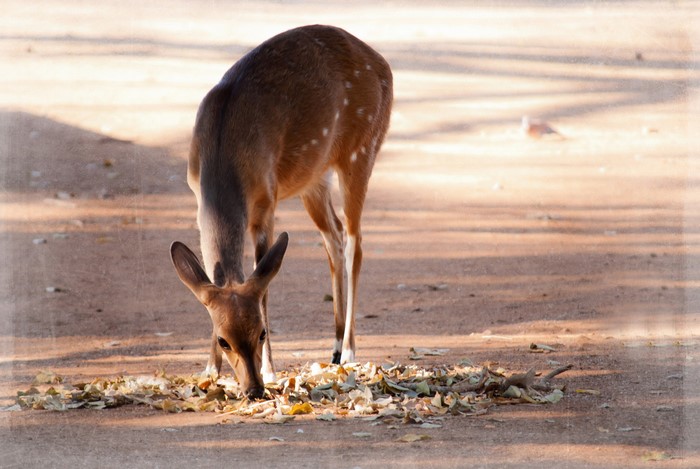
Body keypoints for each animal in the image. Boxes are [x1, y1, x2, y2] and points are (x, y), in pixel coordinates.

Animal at [169, 25, 393, 399]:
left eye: (261, 332)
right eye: (223, 340)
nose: (254, 389)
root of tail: (382, 63)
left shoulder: (266, 201)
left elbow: (264, 283)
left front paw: (271, 370)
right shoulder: (195, 193)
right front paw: (210, 370)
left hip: (361, 149)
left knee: (354, 242)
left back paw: (349, 350)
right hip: (313, 179)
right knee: (333, 238)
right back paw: (333, 348)